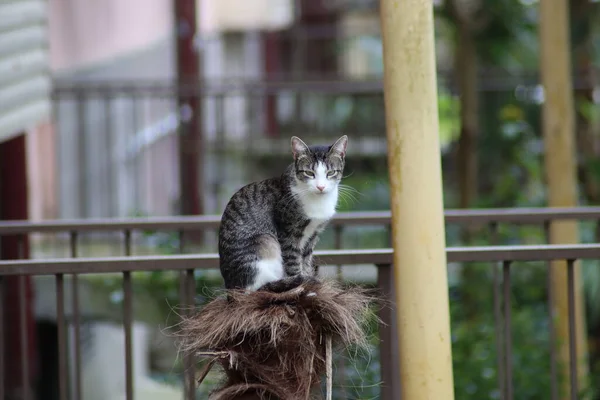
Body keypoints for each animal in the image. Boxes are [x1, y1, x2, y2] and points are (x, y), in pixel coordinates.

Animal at [219, 135, 350, 290]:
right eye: (309, 173)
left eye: (331, 173)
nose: (321, 187)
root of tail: (231, 287)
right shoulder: (288, 232)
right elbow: (293, 260)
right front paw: (302, 281)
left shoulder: (313, 234)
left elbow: (306, 259)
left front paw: (308, 277)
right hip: (264, 241)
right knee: (257, 287)